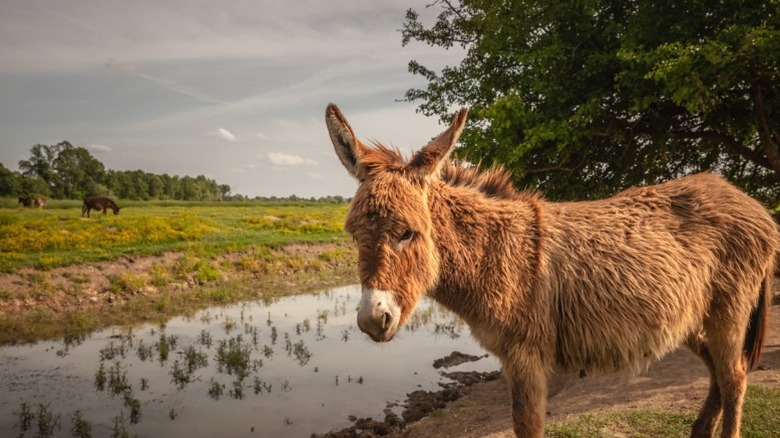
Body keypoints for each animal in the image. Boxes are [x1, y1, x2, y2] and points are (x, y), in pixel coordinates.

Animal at [326, 103, 776, 438]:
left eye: (408, 233)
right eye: (354, 235)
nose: (373, 319)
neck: (494, 252)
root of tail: (748, 202)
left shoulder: (526, 357)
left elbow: (528, 427)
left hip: (728, 315)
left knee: (734, 378)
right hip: (693, 321)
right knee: (719, 375)